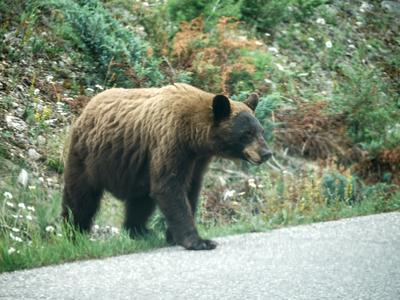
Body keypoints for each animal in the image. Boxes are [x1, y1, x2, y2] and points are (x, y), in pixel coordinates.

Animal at [61, 83, 270, 250]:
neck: (194, 136)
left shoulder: (197, 160)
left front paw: (173, 236)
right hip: (87, 157)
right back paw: (73, 233)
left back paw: (140, 231)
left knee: (140, 202)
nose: (267, 153)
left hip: (138, 169)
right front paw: (198, 241)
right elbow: (169, 186)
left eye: (260, 130)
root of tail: (88, 106)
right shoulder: (171, 142)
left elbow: (190, 189)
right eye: (247, 133)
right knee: (80, 197)